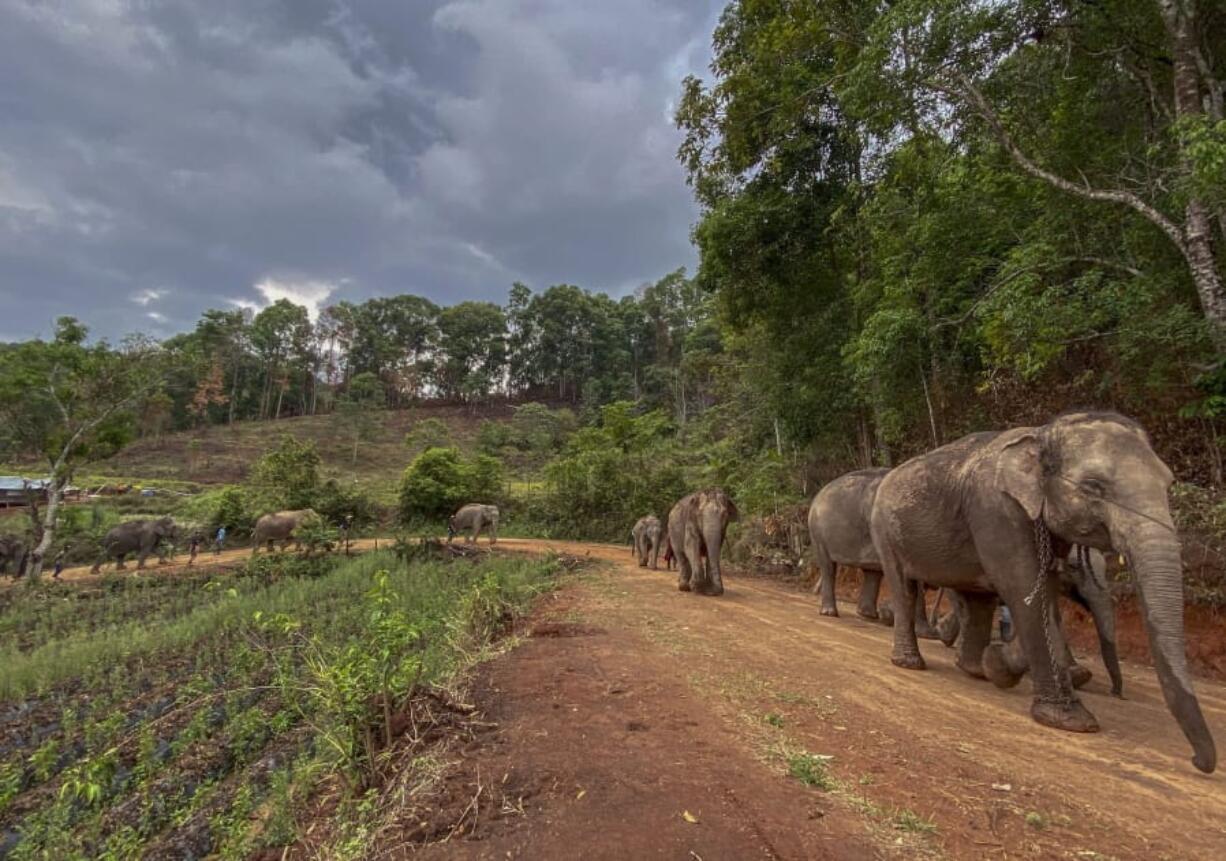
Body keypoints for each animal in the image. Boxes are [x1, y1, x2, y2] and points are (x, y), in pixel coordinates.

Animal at [814, 468, 936, 637]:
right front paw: (925, 634)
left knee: (872, 573)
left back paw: (868, 615)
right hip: (818, 532)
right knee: (828, 566)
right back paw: (829, 613)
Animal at [872, 412, 1216, 775]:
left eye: (1168, 484)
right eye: (1092, 486)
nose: (1197, 761)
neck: (1042, 434)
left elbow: (1043, 597)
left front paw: (998, 665)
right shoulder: (997, 511)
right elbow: (1024, 589)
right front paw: (1070, 720)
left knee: (977, 600)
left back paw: (974, 669)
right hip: (885, 529)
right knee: (905, 588)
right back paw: (911, 663)